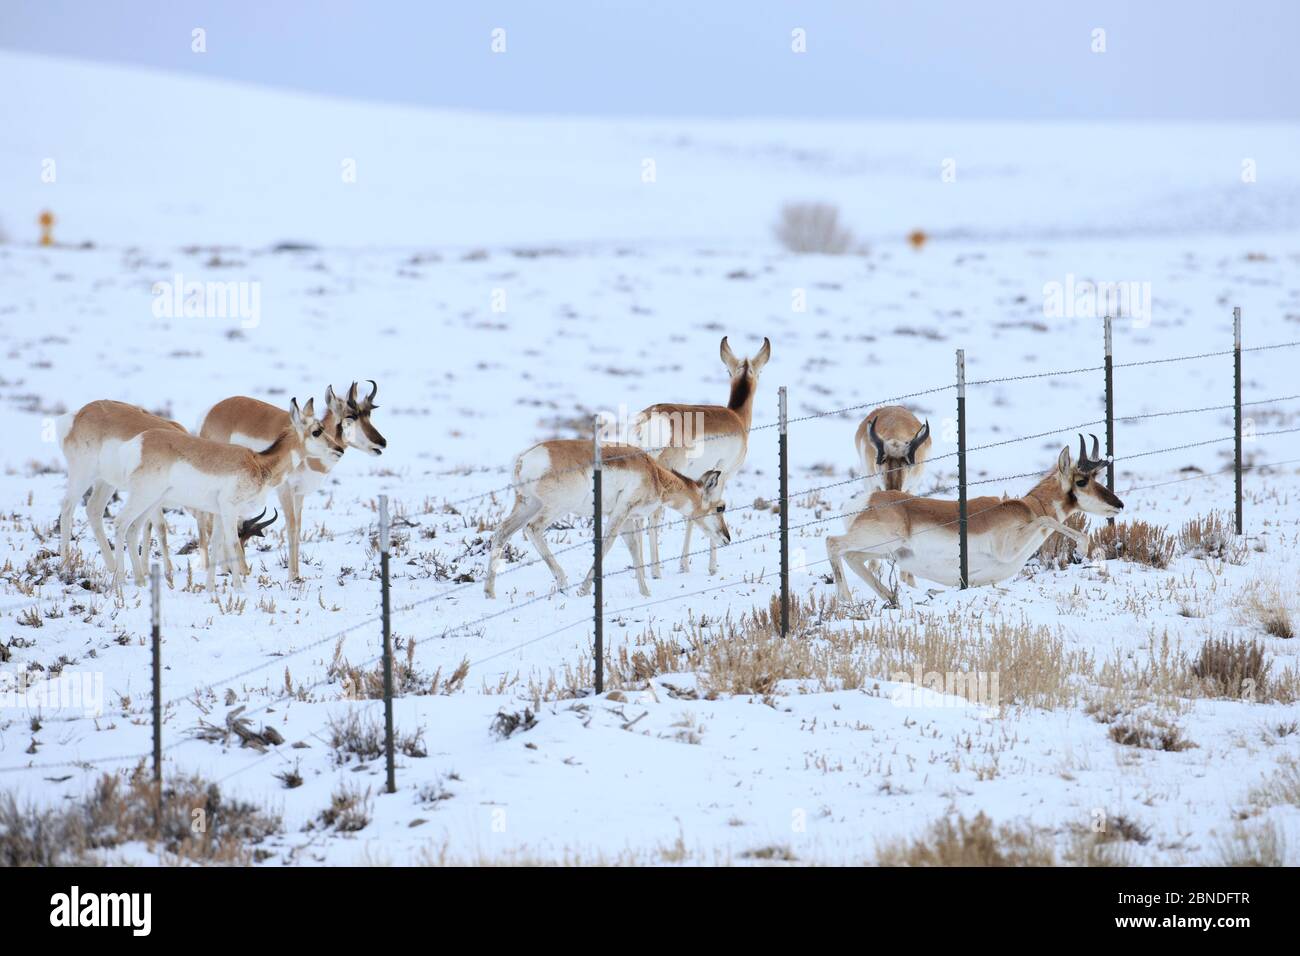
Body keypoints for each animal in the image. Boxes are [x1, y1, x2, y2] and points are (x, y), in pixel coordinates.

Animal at [195, 379, 382, 574]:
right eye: (351, 416)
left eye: (369, 415)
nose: (382, 442)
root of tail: (212, 410)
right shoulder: (284, 490)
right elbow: (290, 527)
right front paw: (293, 576)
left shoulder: (300, 494)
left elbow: (298, 528)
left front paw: (297, 573)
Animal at [486, 439, 733, 598]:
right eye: (720, 507)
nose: (727, 538)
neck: (654, 474)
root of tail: (525, 458)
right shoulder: (620, 513)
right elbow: (607, 545)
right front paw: (584, 590)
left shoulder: (628, 520)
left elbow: (635, 551)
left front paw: (645, 593)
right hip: (554, 509)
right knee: (532, 529)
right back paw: (564, 583)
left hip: (527, 505)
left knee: (501, 532)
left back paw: (489, 592)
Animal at [634, 335, 764, 574]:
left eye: (729, 371)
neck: (736, 417)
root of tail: (653, 416)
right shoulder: (721, 477)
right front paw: (711, 566)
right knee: (654, 516)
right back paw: (656, 571)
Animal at [826, 434, 1123, 606]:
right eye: (1082, 481)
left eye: (1096, 477)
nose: (1119, 505)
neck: (1027, 507)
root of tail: (867, 500)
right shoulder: (1010, 545)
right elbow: (1046, 521)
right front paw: (1081, 549)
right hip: (877, 541)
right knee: (832, 542)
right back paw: (846, 602)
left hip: (880, 550)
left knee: (851, 557)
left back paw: (889, 597)